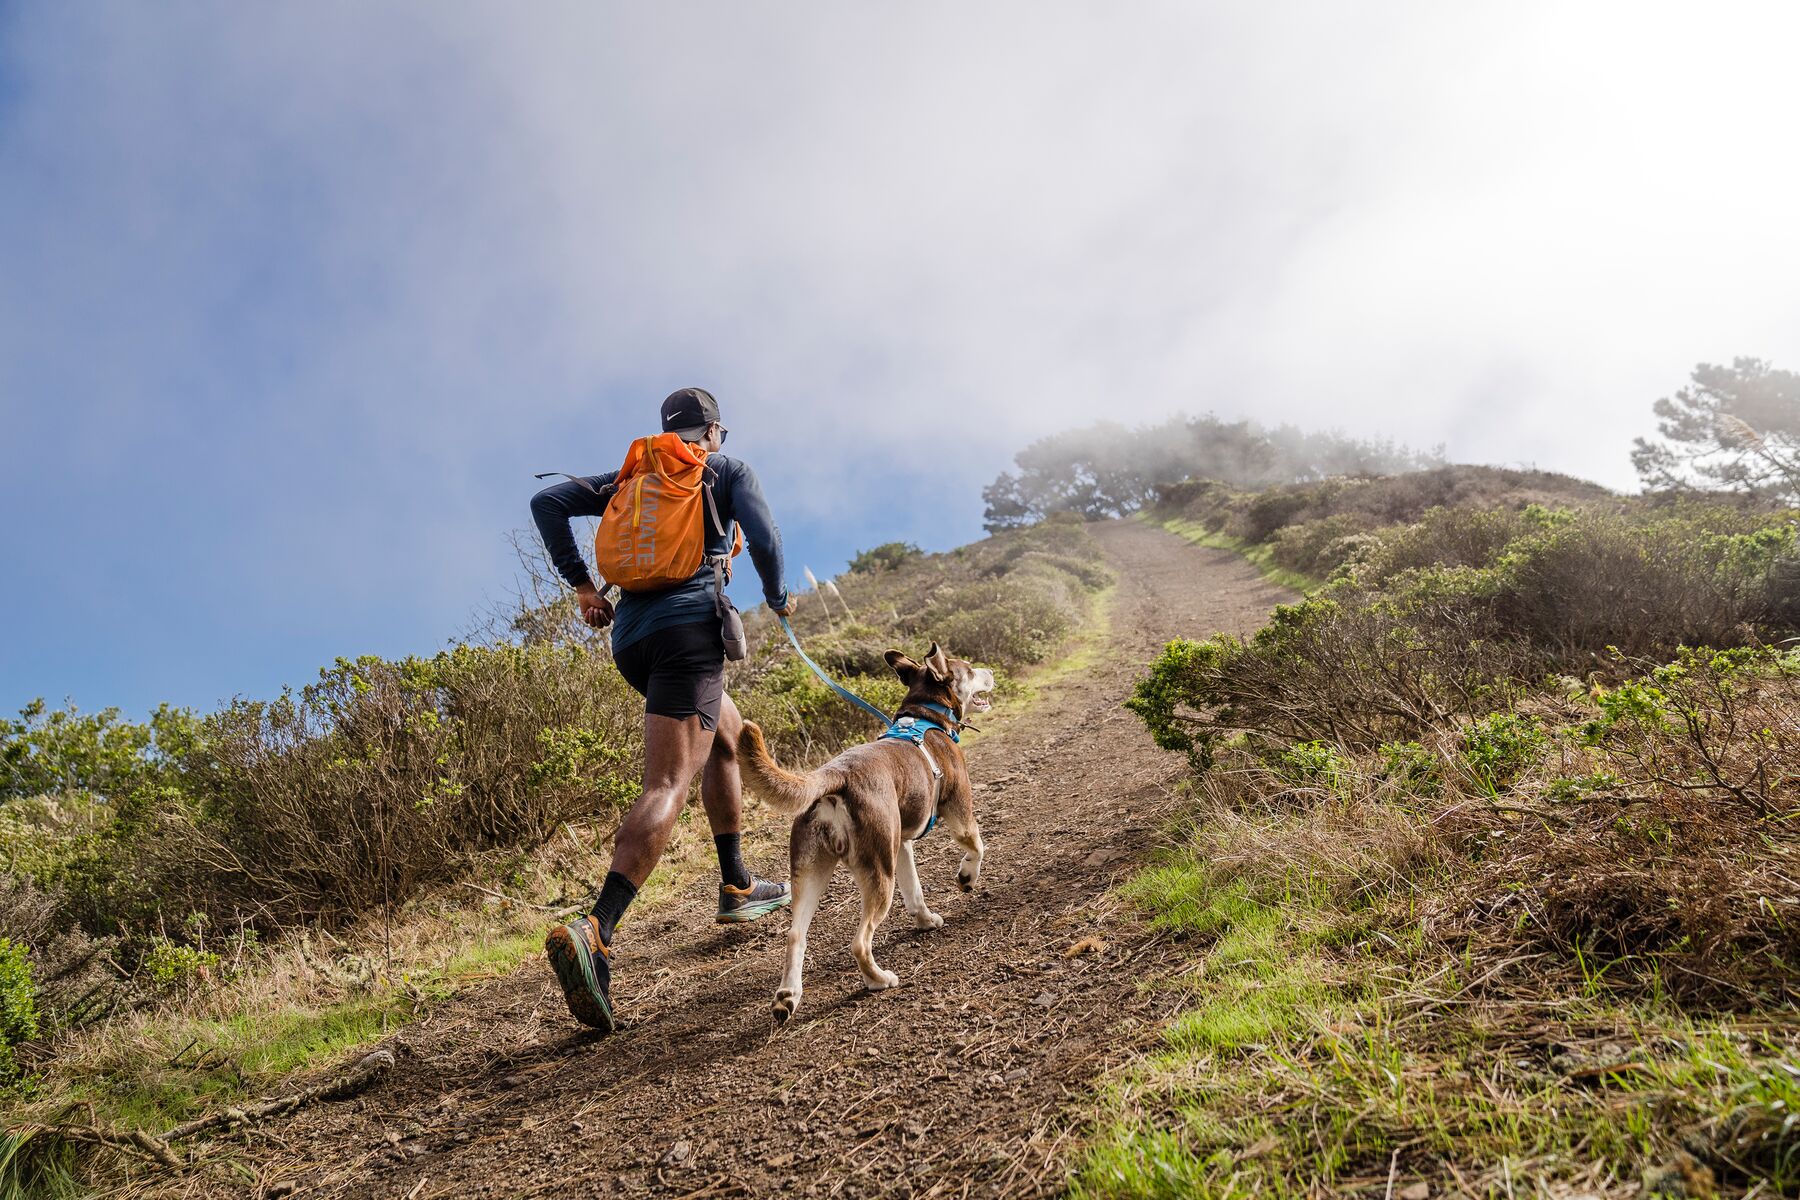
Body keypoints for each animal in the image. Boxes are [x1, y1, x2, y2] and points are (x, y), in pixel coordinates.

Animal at [741, 647, 1000, 1021]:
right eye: (968, 669)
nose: (991, 671)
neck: (927, 716)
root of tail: (834, 777)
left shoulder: (901, 845)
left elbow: (915, 891)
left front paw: (924, 919)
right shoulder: (960, 813)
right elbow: (977, 846)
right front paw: (966, 877)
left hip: (812, 872)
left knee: (795, 936)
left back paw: (787, 996)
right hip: (878, 874)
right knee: (860, 942)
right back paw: (878, 979)